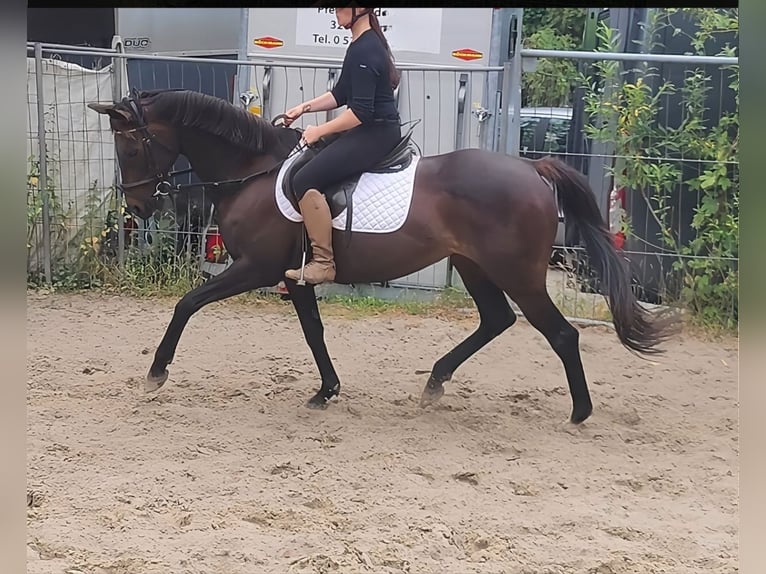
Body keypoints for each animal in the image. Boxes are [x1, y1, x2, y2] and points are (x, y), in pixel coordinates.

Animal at [88, 89, 676, 425]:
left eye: (131, 146)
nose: (138, 206)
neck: (251, 171)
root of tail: (533, 168)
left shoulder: (255, 268)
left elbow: (187, 304)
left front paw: (156, 372)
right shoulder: (293, 275)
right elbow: (313, 332)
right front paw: (326, 391)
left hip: (518, 274)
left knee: (560, 333)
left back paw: (579, 413)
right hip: (475, 266)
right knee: (496, 320)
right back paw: (435, 382)